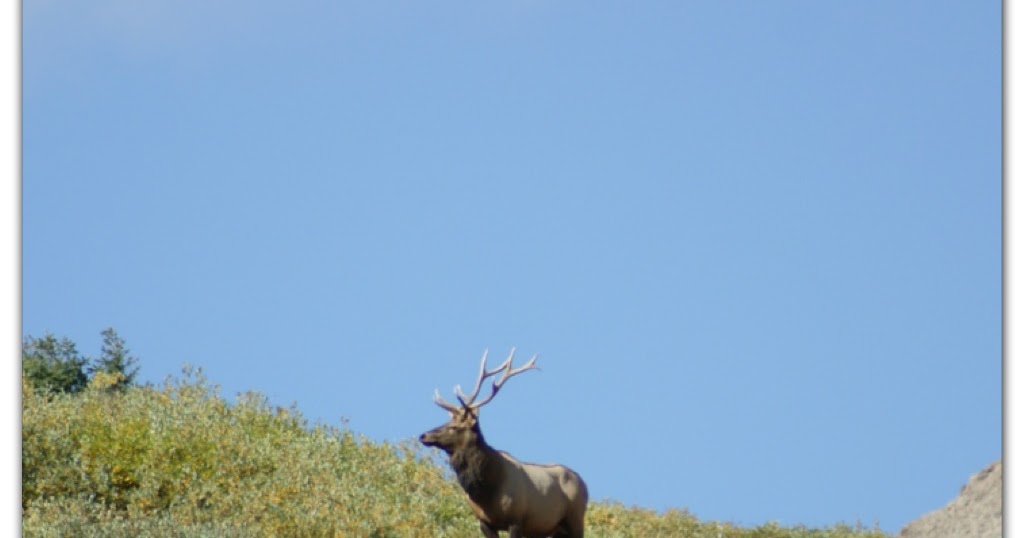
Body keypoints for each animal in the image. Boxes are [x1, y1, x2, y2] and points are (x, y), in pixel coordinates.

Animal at [419, 349, 589, 538]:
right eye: (447, 421)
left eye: (454, 427)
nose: (424, 436)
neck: (486, 493)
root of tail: (584, 485)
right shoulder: (484, 522)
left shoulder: (516, 519)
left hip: (575, 519)